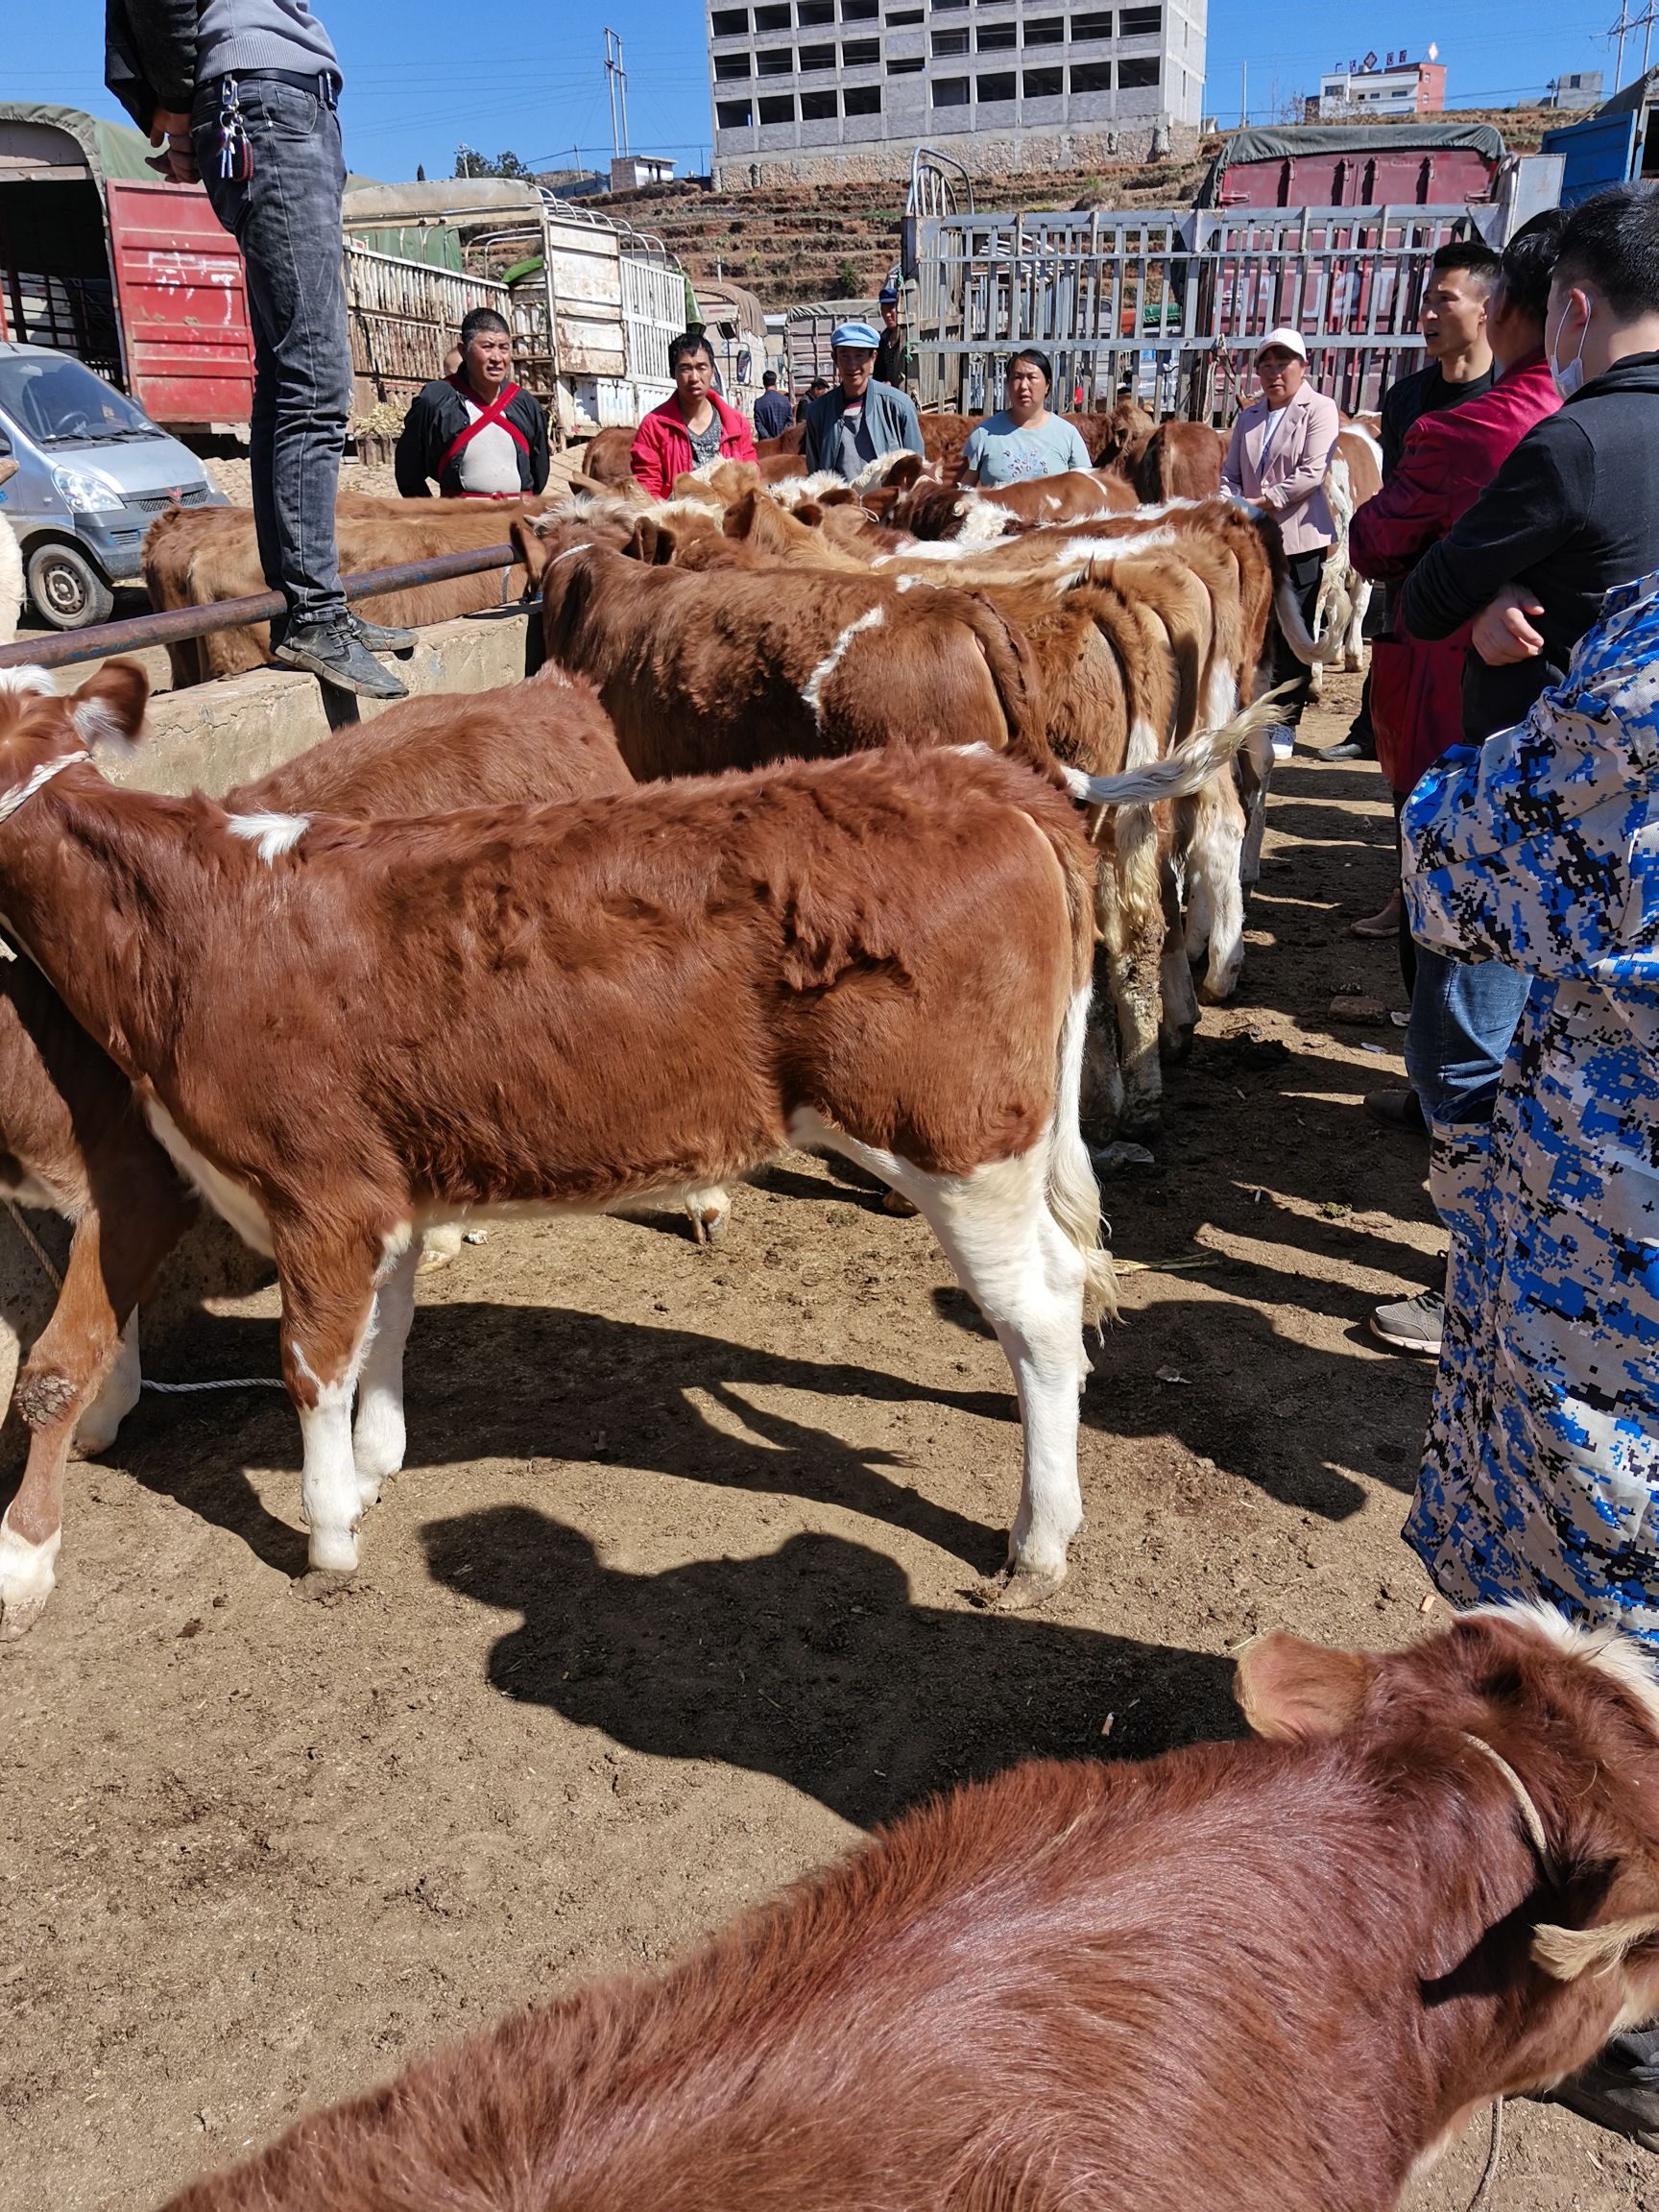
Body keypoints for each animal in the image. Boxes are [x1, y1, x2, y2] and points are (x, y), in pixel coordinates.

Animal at [0, 663, 1274, 1601]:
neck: (199, 920)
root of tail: (986, 774)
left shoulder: (318, 1191)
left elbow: (309, 1363)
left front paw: (326, 1538)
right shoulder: (388, 1181)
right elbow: (383, 1331)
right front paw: (373, 1470)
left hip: (956, 1138)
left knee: (1042, 1315)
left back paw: (1039, 1540)